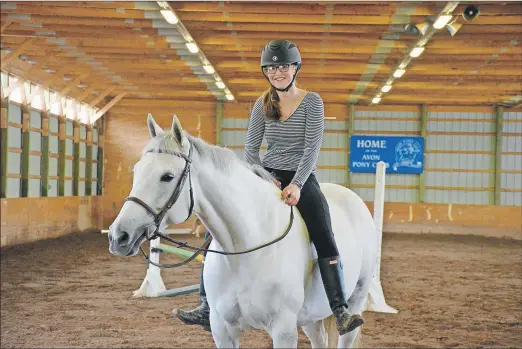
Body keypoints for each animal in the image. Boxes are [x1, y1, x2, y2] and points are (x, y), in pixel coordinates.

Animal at [108, 113, 378, 346]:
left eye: (167, 176)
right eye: (136, 171)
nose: (118, 236)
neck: (248, 249)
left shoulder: (283, 331)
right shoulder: (222, 330)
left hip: (354, 301)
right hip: (311, 316)